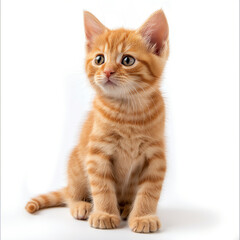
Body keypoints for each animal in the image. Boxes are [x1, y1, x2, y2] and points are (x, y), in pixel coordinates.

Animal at [25, 9, 169, 232]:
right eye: (99, 59)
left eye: (127, 60)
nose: (107, 71)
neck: (128, 112)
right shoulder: (97, 153)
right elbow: (102, 187)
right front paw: (105, 213)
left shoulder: (156, 156)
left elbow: (149, 190)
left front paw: (144, 216)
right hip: (76, 165)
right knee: (71, 195)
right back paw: (81, 205)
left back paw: (126, 207)